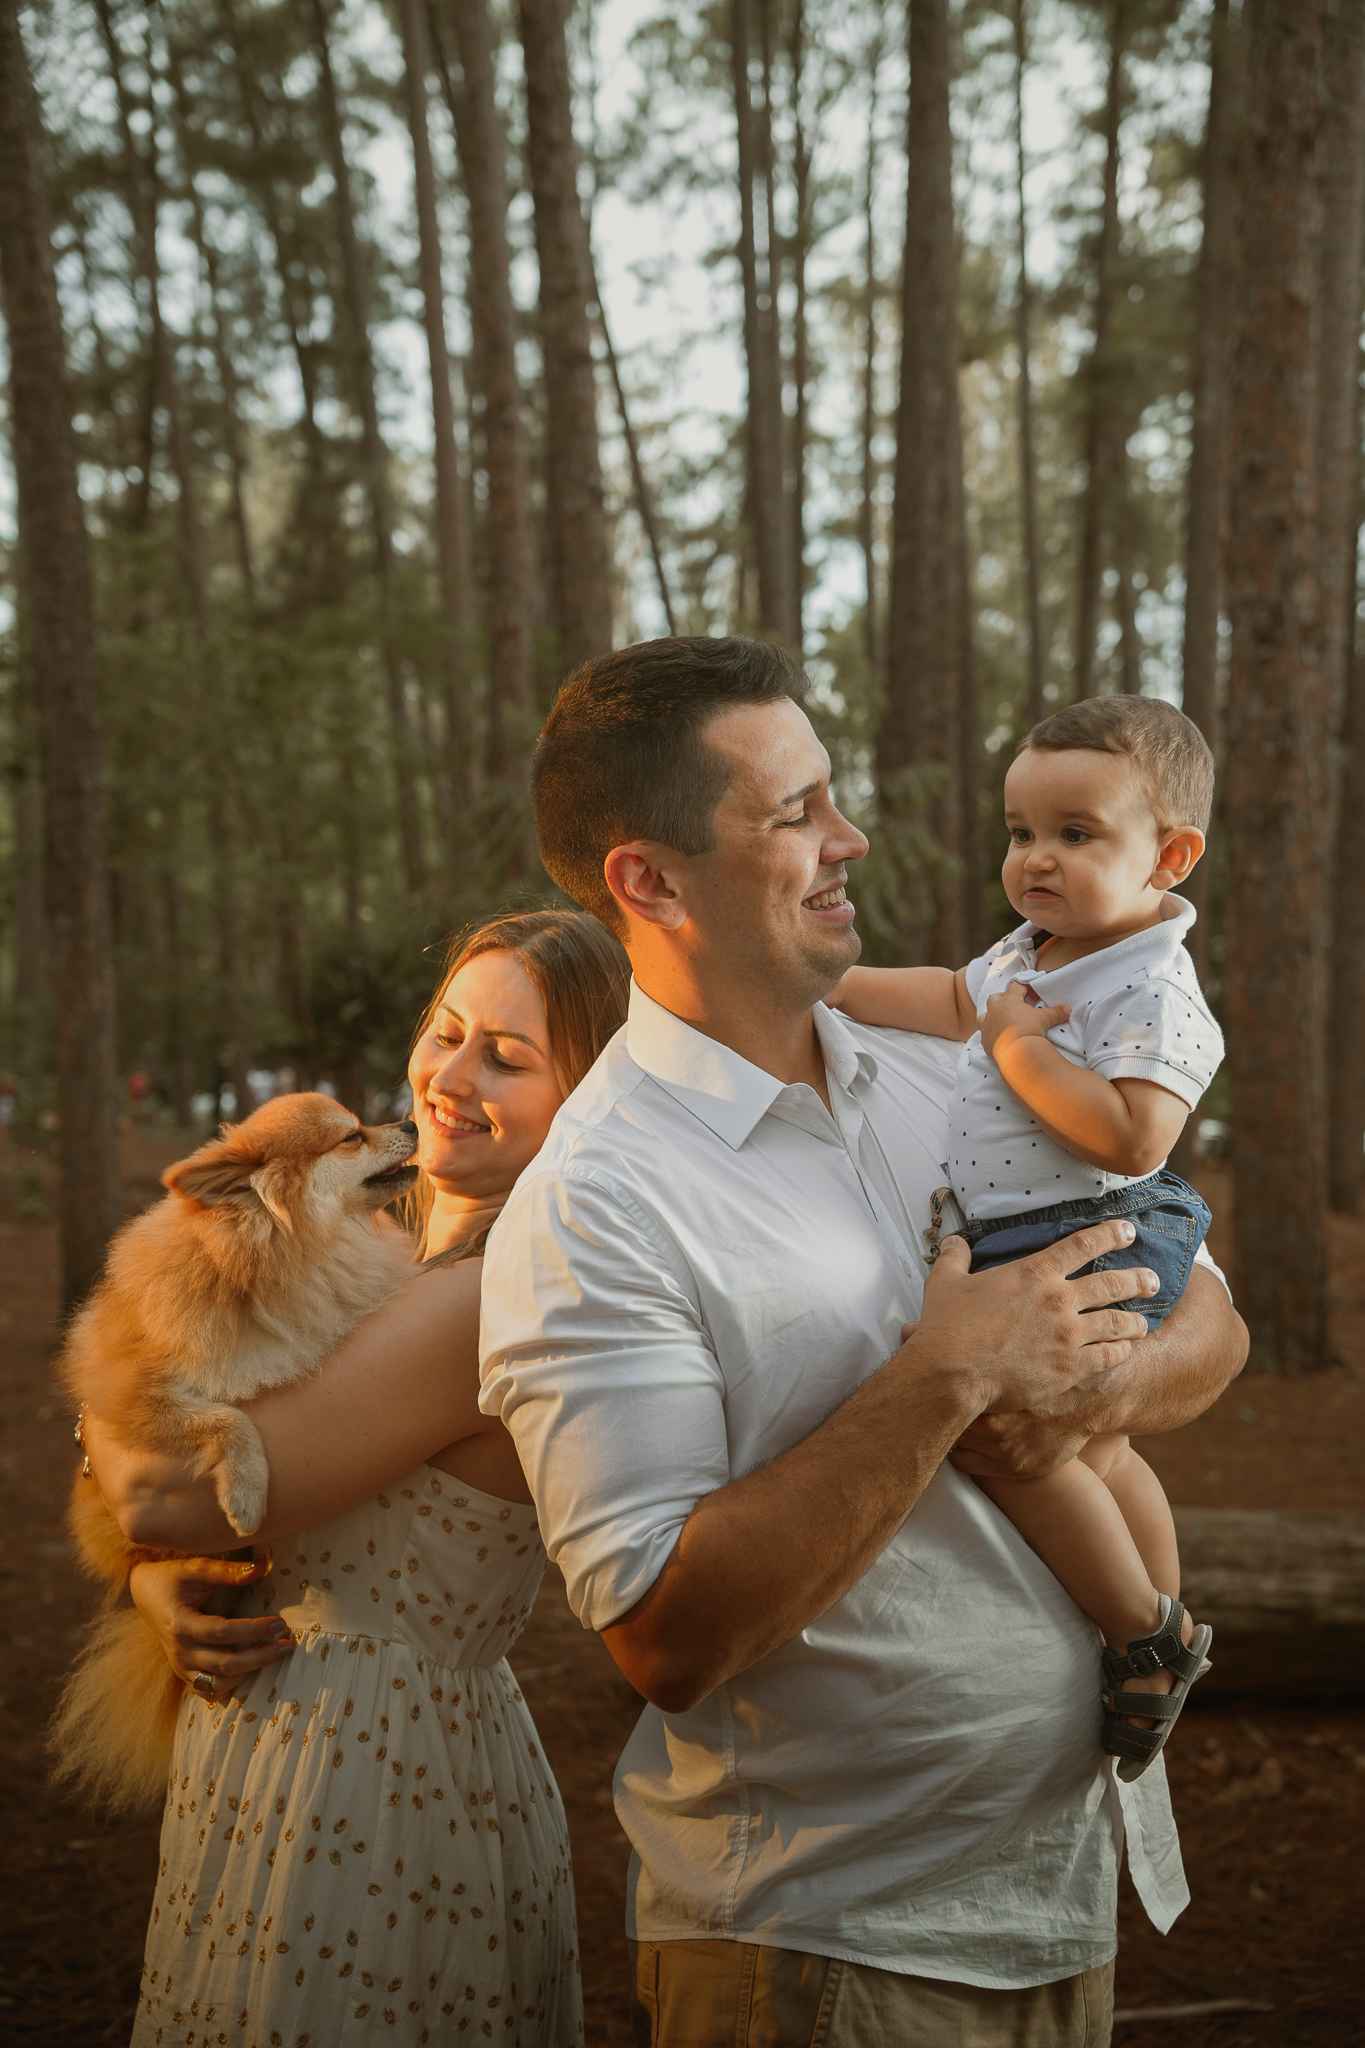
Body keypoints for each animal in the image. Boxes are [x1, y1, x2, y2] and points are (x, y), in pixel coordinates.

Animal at [50, 1097, 419, 1818]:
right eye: (352, 1137)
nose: (413, 1121)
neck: (283, 1257)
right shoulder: (132, 1395)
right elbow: (230, 1418)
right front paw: (247, 1494)